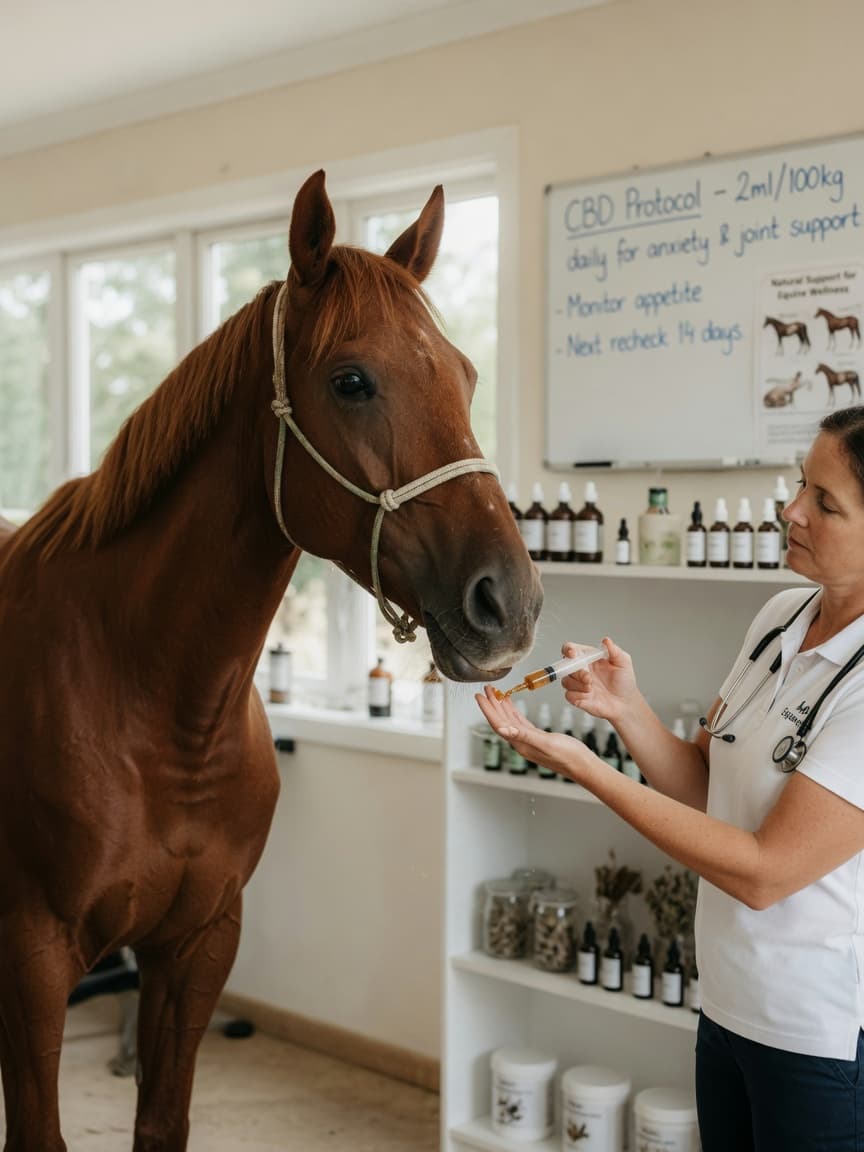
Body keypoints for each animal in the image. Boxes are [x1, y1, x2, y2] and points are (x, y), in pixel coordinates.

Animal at [0, 169, 543, 1152]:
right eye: (352, 381)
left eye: (466, 375)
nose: (509, 603)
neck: (152, 705)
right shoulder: (30, 960)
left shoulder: (199, 943)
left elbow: (163, 1119)